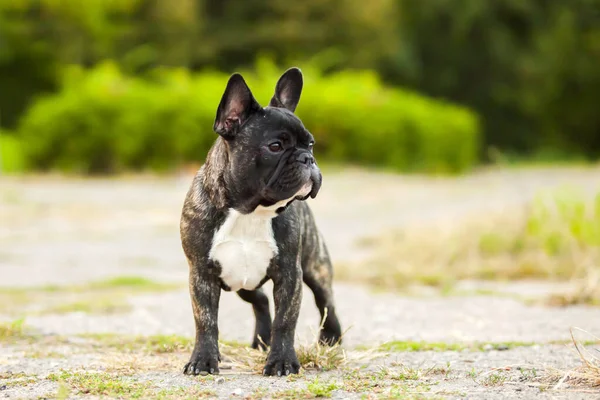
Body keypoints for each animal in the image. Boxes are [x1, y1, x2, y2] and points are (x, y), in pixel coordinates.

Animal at [179, 67, 342, 376]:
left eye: (310, 144)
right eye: (275, 146)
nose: (308, 158)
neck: (249, 211)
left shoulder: (290, 274)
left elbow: (286, 321)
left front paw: (282, 361)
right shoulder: (202, 274)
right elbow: (205, 321)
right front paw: (203, 360)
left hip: (315, 266)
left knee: (326, 302)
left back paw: (331, 339)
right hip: (241, 281)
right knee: (262, 300)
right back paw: (260, 341)